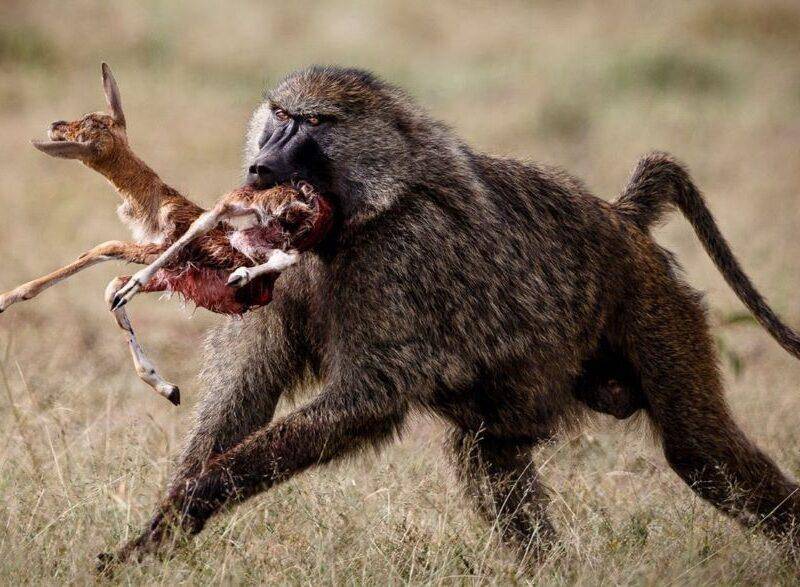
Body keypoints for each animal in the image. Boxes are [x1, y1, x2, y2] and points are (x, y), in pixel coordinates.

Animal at [99, 66, 800, 569]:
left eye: (313, 125)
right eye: (279, 118)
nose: (260, 166)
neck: (352, 222)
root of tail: (620, 219)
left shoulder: (400, 254)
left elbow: (368, 397)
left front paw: (203, 490)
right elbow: (246, 388)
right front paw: (161, 530)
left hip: (653, 308)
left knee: (700, 451)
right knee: (486, 452)